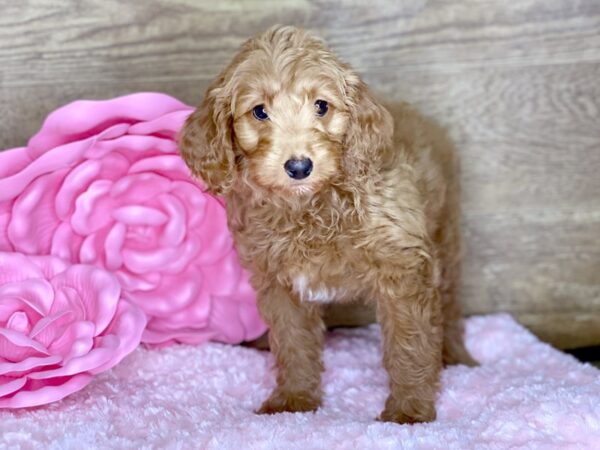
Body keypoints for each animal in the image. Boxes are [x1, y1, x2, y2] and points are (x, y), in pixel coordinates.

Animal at [178, 25, 474, 426]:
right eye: (259, 112)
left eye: (321, 106)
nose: (299, 166)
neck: (311, 206)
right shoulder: (277, 282)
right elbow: (294, 343)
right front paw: (294, 401)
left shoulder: (404, 269)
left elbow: (409, 343)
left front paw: (408, 412)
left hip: (446, 235)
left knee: (451, 303)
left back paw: (455, 355)